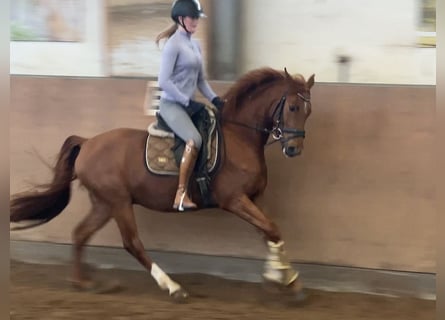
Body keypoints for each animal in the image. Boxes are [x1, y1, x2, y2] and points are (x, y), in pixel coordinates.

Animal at [11, 66, 316, 302]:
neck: (239, 136)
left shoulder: (253, 199)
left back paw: (83, 283)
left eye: (308, 111)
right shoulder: (235, 200)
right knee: (132, 243)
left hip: (103, 203)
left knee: (80, 234)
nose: (293, 149)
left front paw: (283, 278)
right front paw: (286, 280)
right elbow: (272, 229)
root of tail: (87, 143)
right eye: (292, 107)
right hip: (119, 202)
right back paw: (173, 287)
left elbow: (269, 233)